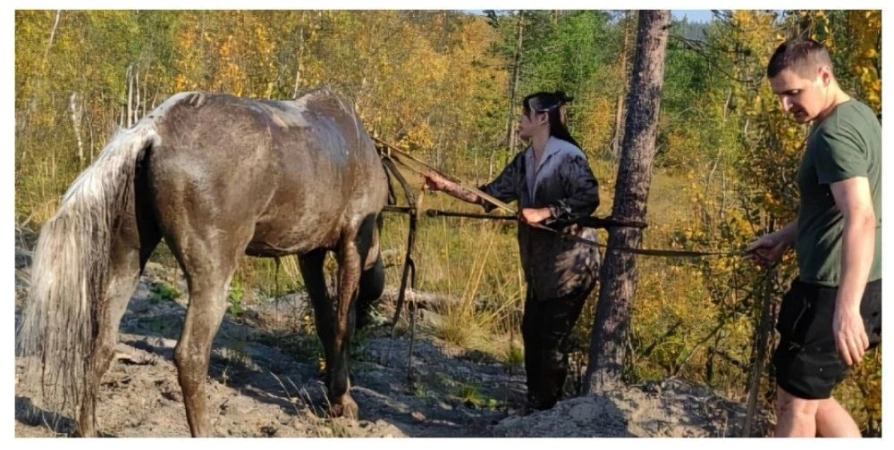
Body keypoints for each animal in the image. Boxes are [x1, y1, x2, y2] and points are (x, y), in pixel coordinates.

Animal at [17, 87, 388, 436]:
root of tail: (153, 130)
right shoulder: (352, 242)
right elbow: (343, 323)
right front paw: (342, 399)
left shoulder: (310, 253)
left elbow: (326, 321)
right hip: (212, 278)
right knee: (190, 355)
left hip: (127, 259)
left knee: (102, 342)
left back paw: (89, 428)